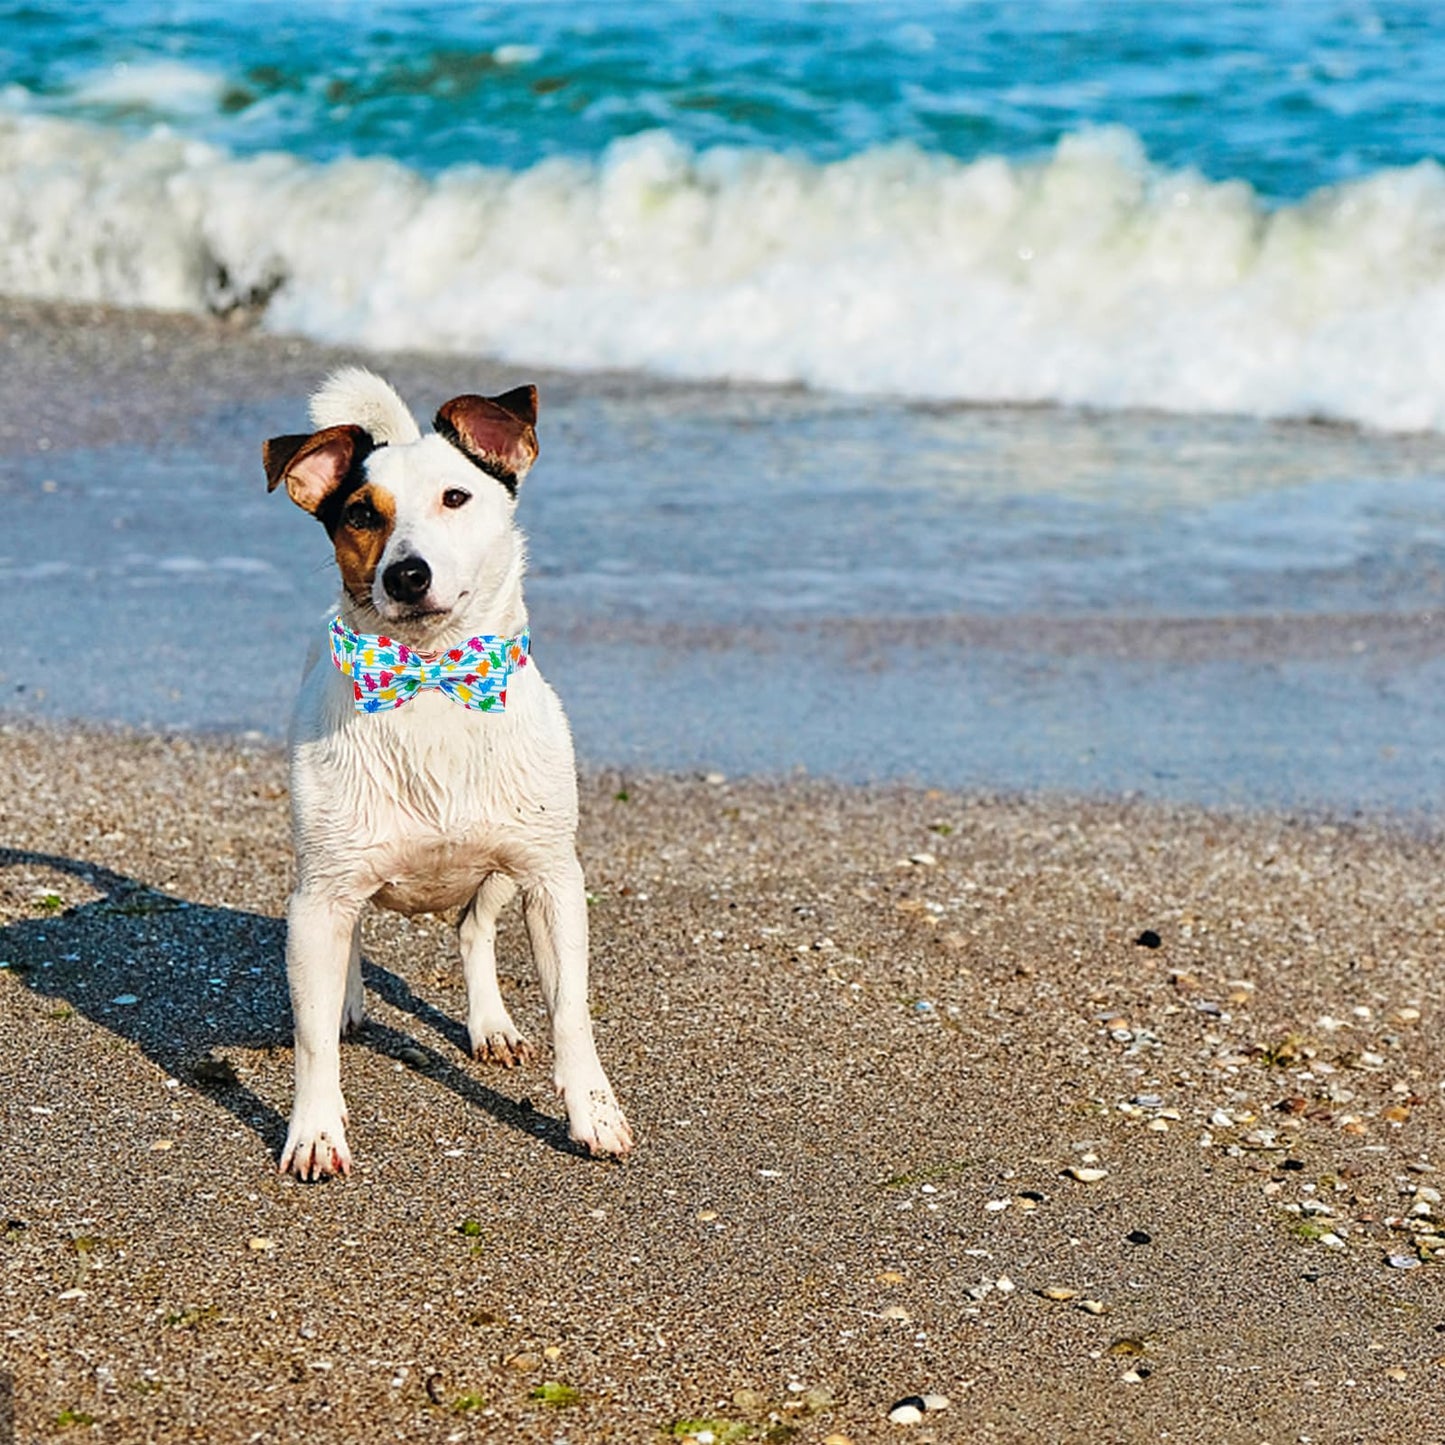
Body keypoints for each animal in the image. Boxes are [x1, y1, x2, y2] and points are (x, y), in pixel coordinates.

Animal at [261, 367, 632, 1179]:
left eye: (455, 498)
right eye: (360, 514)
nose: (406, 574)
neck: (431, 681)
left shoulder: (552, 879)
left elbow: (572, 1014)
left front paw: (594, 1114)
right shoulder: (320, 895)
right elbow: (311, 1040)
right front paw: (315, 1130)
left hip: (498, 868)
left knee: (473, 930)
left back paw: (490, 1022)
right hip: (324, 873)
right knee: (348, 944)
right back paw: (347, 1000)